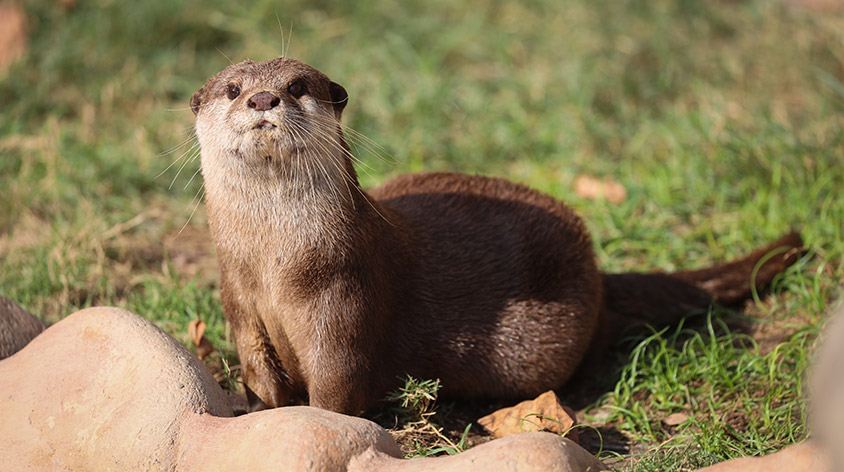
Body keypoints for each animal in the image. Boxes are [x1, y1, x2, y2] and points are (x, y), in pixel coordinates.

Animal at [191, 57, 804, 414]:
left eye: (296, 85)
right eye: (232, 88)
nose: (263, 98)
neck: (277, 263)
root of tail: (598, 270)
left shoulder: (343, 295)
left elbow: (338, 383)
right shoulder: (238, 298)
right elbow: (257, 372)